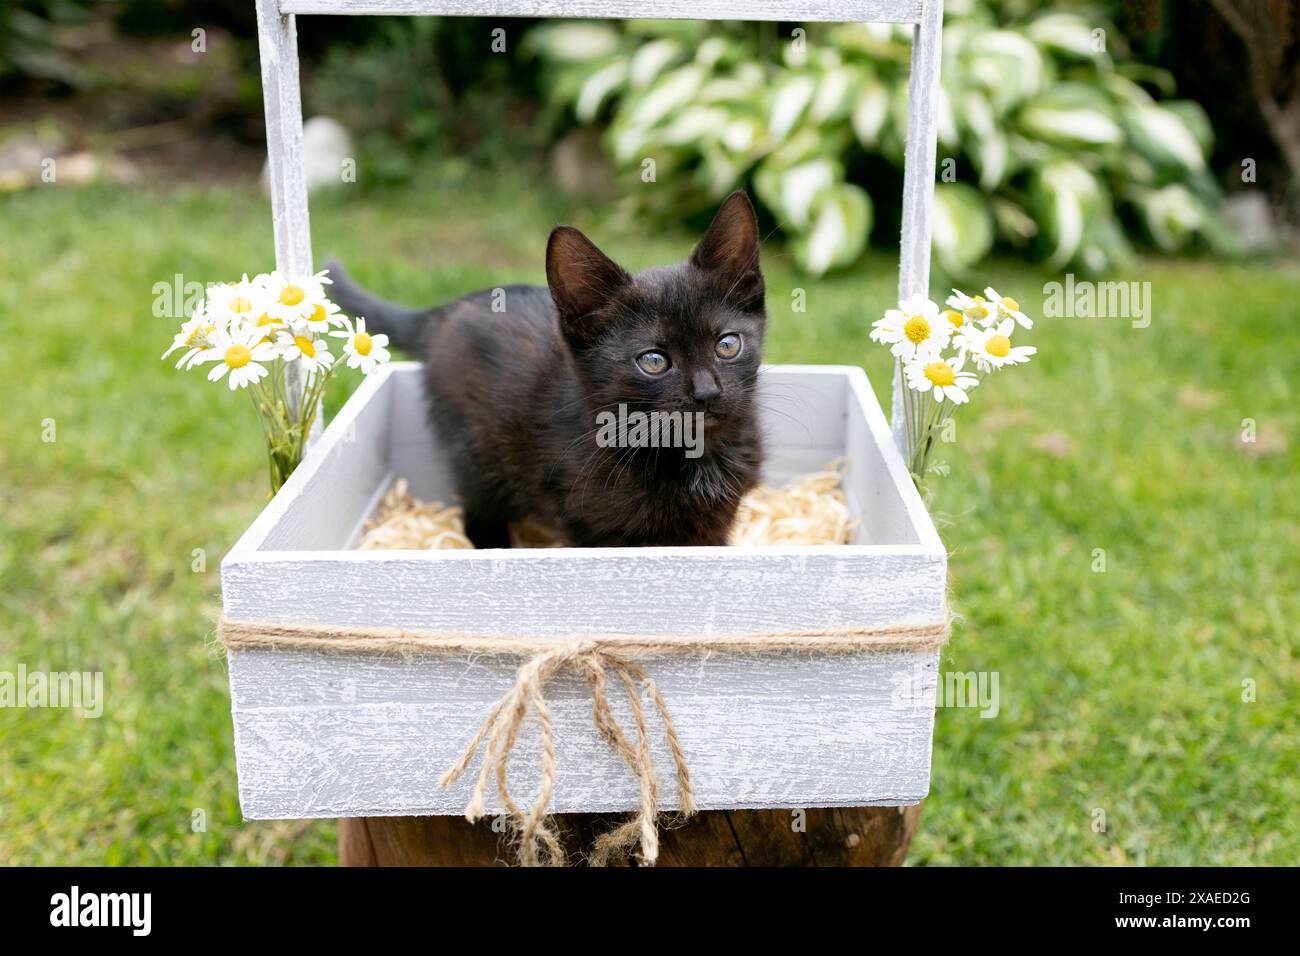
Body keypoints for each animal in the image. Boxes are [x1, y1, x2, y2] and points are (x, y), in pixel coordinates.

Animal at [325, 191, 764, 548]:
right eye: (654, 361)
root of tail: (445, 311)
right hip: (477, 451)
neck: (692, 453)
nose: (707, 392)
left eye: (727, 345)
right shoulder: (592, 529)